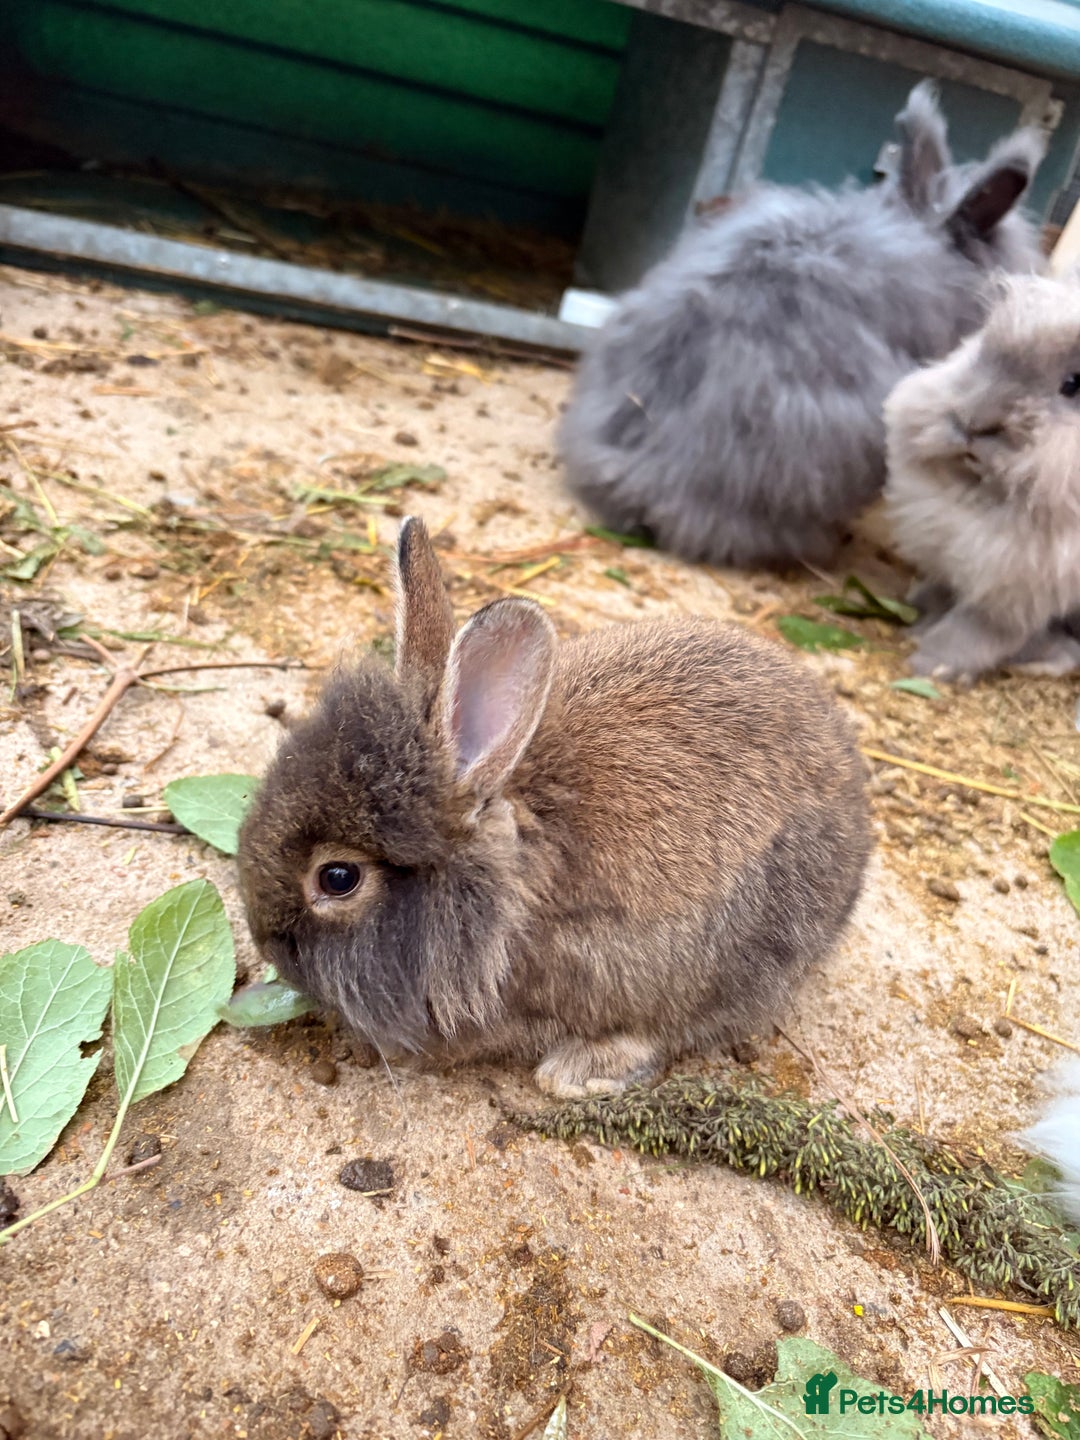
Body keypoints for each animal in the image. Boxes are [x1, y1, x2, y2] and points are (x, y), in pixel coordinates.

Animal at [883, 272, 1080, 681]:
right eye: (980, 351)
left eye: (1073, 384)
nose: (974, 422)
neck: (979, 495)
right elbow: (941, 592)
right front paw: (916, 615)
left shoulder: (1013, 595)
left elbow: (975, 634)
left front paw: (929, 665)